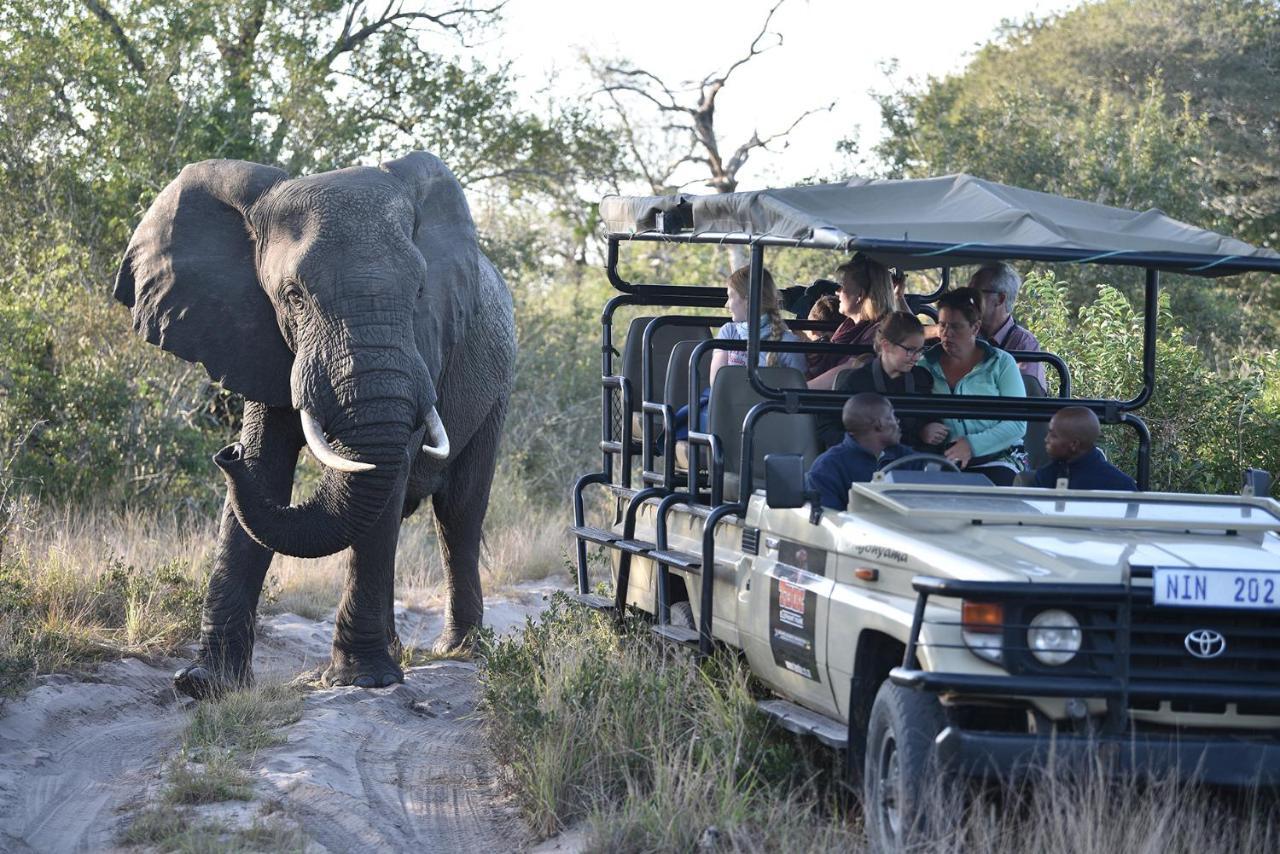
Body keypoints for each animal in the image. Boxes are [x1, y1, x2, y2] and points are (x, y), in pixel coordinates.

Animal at [115, 150, 514, 696]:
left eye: (418, 291)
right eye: (294, 296)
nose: (225, 453)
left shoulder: (424, 347)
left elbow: (385, 475)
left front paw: (363, 680)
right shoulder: (257, 334)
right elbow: (266, 471)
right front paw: (203, 684)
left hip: (499, 387)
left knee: (459, 514)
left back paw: (458, 651)